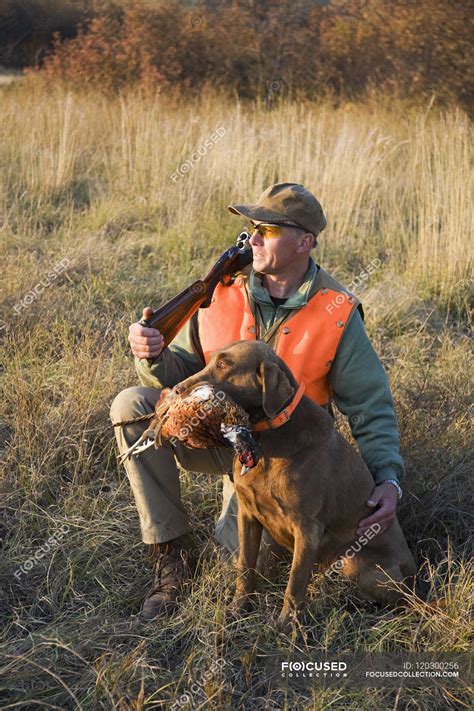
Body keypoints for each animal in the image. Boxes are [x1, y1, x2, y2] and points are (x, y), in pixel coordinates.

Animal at [176, 342, 416, 632]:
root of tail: (414, 575)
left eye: (223, 365)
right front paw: (238, 608)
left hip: (353, 561)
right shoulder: (248, 515)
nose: (176, 390)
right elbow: (245, 566)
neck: (266, 441)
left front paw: (285, 626)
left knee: (396, 601)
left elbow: (294, 583)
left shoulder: (307, 530)